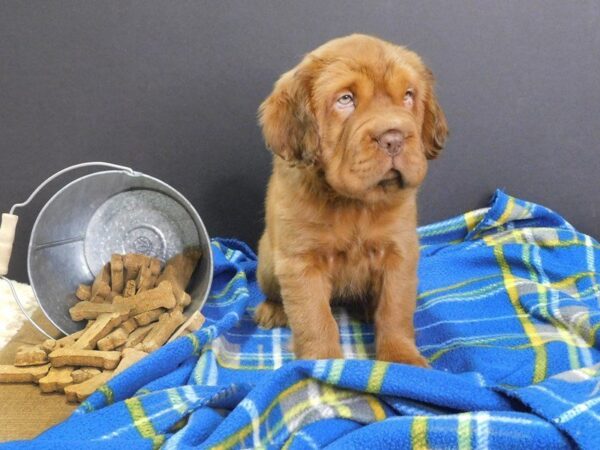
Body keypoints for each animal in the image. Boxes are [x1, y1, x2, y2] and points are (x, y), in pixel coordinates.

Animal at [252, 34, 446, 366]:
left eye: (408, 96)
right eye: (345, 99)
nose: (393, 138)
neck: (355, 203)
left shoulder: (399, 253)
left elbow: (395, 310)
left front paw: (402, 358)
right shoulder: (301, 260)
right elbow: (314, 318)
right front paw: (323, 364)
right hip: (267, 260)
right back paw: (273, 309)